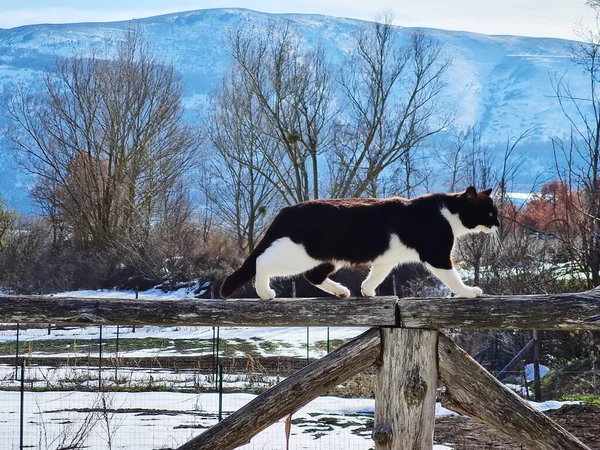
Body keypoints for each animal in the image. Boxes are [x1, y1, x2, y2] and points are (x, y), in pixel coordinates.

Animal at [218, 186, 500, 298]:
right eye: (488, 213)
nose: (497, 223)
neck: (448, 212)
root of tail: (287, 210)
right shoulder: (437, 254)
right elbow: (453, 277)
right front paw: (469, 291)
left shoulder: (387, 259)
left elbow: (378, 274)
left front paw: (367, 290)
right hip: (297, 253)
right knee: (262, 262)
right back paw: (265, 292)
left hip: (325, 257)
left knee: (312, 275)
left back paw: (342, 291)